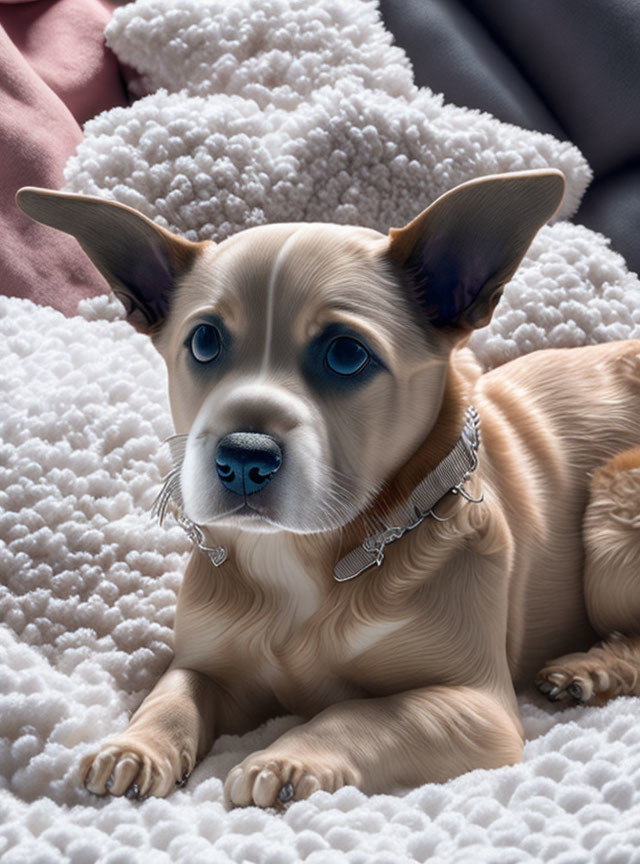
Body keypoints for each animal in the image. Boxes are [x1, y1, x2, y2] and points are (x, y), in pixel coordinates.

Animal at [15, 170, 640, 808]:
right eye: (204, 342)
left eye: (345, 354)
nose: (244, 458)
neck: (305, 556)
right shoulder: (211, 662)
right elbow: (173, 695)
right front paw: (135, 746)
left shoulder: (476, 705)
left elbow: (363, 715)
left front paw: (288, 757)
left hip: (613, 518)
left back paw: (589, 670)